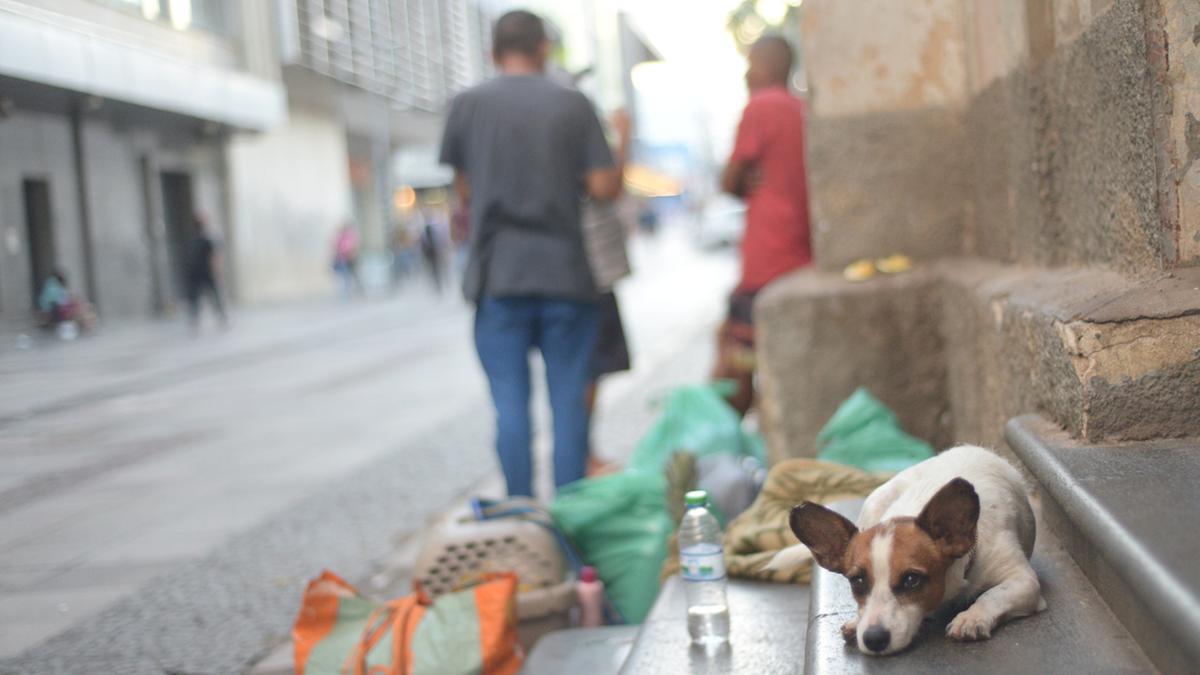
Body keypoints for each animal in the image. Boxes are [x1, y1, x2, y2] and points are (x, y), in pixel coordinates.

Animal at [772, 444, 1046, 653]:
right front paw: (856, 620)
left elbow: (993, 594)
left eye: (912, 580)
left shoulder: (1023, 580)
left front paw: (973, 616)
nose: (873, 639)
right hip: (874, 501)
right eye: (857, 581)